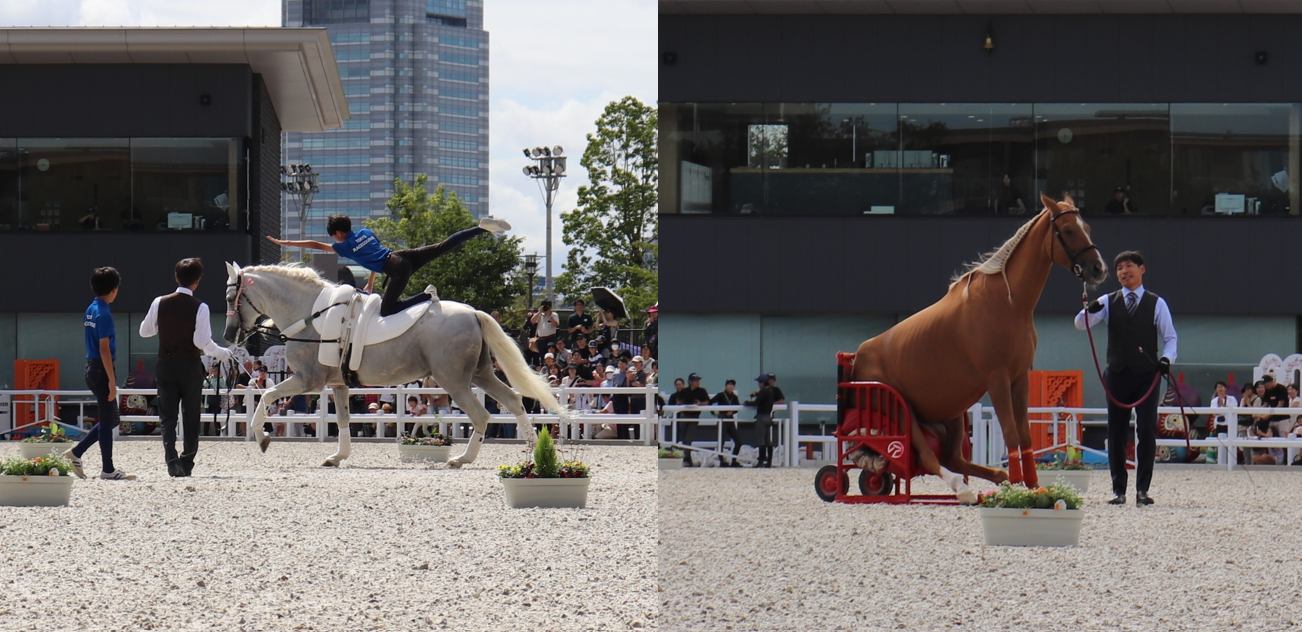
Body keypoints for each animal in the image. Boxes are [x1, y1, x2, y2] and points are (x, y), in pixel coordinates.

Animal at [226, 259, 562, 463]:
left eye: (231, 298)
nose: (229, 334)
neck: (308, 313)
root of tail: (473, 313)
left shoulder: (307, 380)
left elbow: (266, 396)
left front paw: (262, 437)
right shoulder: (338, 385)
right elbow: (343, 420)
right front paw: (338, 457)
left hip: (453, 380)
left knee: (481, 415)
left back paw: (461, 460)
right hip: (480, 374)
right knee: (514, 400)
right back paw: (534, 450)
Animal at [854, 190, 1109, 500]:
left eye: (1088, 228)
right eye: (1069, 230)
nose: (1098, 268)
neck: (1008, 303)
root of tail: (856, 357)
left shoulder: (1019, 379)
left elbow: (1024, 433)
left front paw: (1033, 485)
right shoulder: (997, 379)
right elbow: (1010, 432)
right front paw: (1017, 487)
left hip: (952, 412)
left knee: (952, 457)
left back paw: (991, 480)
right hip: (902, 412)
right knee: (927, 456)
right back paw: (961, 488)